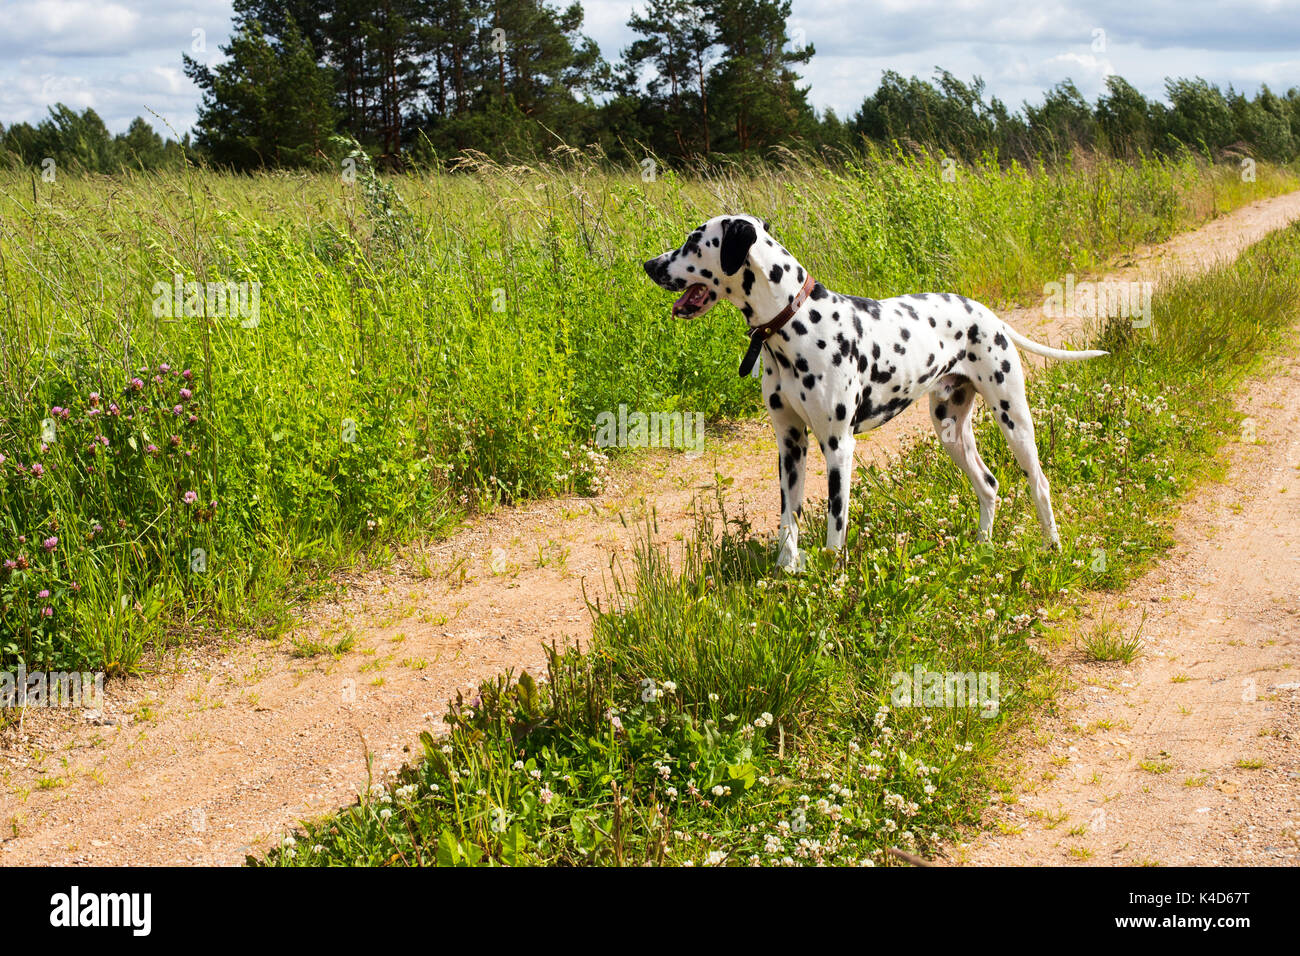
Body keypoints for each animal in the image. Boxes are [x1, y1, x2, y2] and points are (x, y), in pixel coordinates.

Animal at [639, 214, 1107, 567]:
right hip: (950, 429)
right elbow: (788, 519)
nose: (647, 265)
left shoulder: (837, 446)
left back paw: (1052, 546)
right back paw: (982, 548)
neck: (794, 320)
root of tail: (988, 314)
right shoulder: (789, 444)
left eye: (694, 241)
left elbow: (835, 521)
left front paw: (830, 581)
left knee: (1039, 482)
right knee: (989, 484)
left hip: (1013, 418)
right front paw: (785, 574)